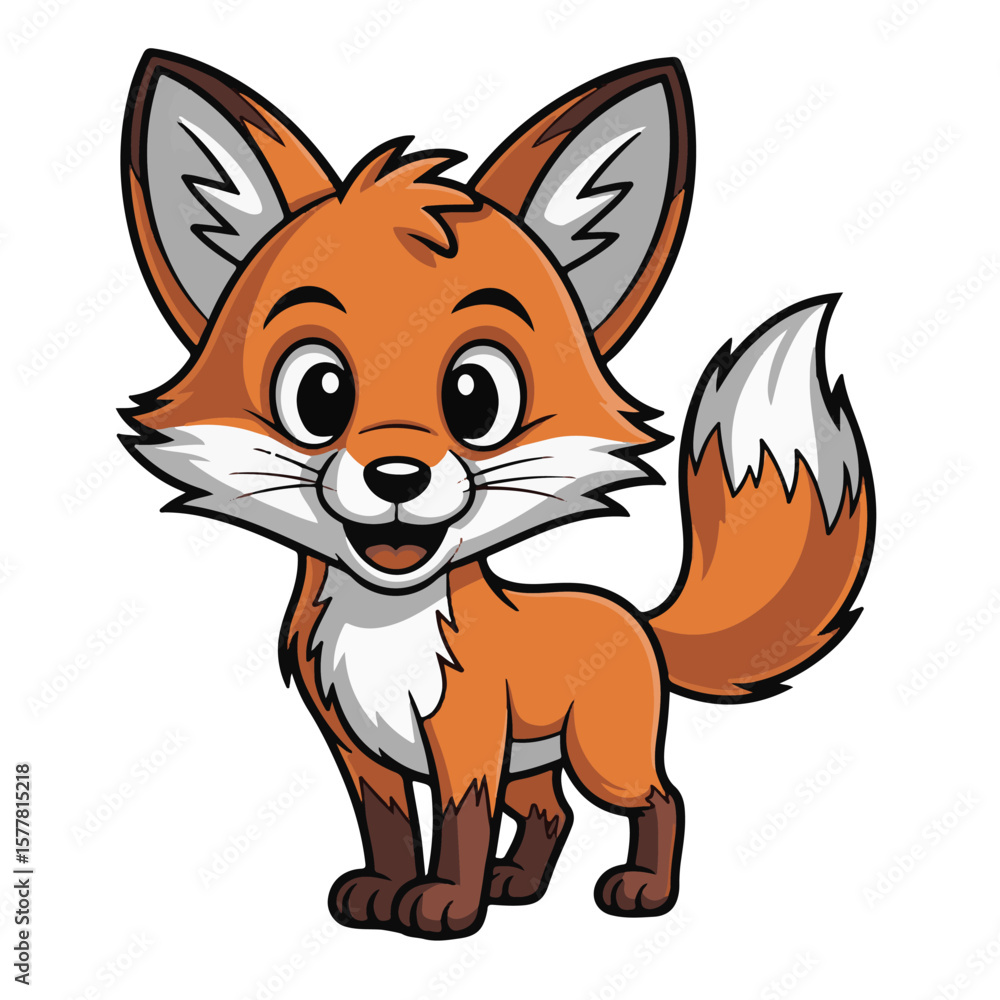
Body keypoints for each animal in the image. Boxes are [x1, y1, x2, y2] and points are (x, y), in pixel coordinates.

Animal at [120, 50, 874, 939]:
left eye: (476, 397)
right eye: (320, 394)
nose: (398, 475)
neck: (386, 632)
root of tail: (635, 617)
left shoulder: (468, 742)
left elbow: (459, 830)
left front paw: (446, 906)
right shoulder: (360, 750)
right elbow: (389, 830)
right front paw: (383, 895)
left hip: (599, 755)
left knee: (660, 799)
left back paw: (641, 891)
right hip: (536, 764)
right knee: (553, 812)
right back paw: (520, 885)